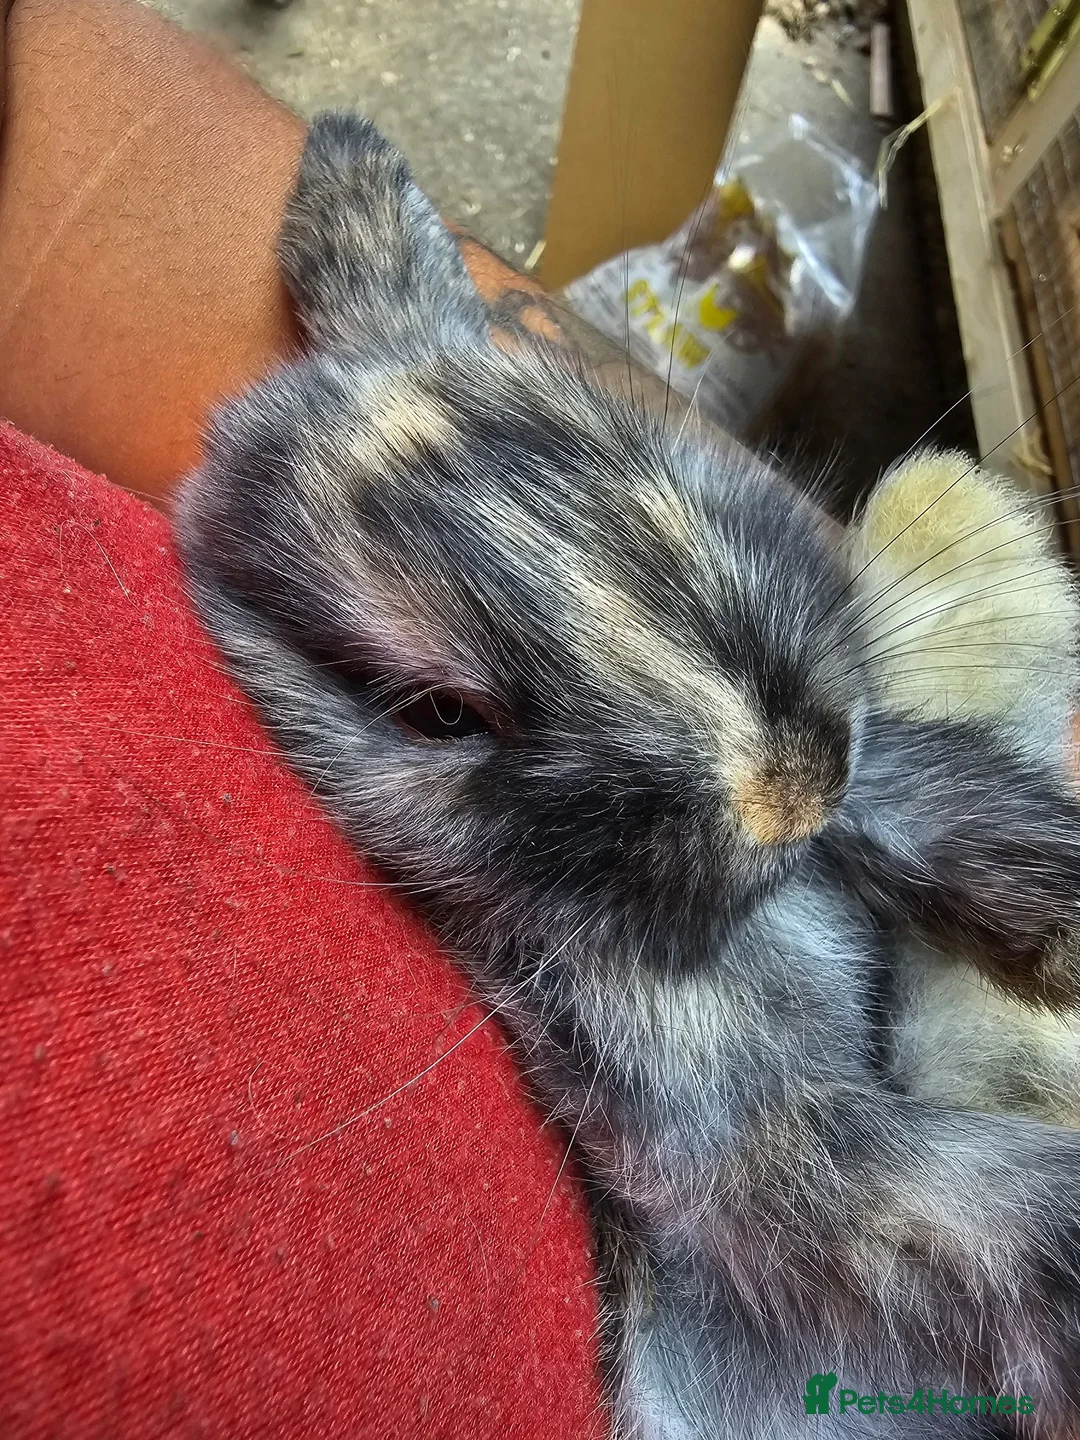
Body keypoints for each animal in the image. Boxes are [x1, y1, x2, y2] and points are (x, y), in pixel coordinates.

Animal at [177, 112, 1080, 1437]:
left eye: (643, 476)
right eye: (439, 713)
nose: (792, 789)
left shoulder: (886, 789)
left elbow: (952, 805)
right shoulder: (784, 1144)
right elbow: (984, 1208)